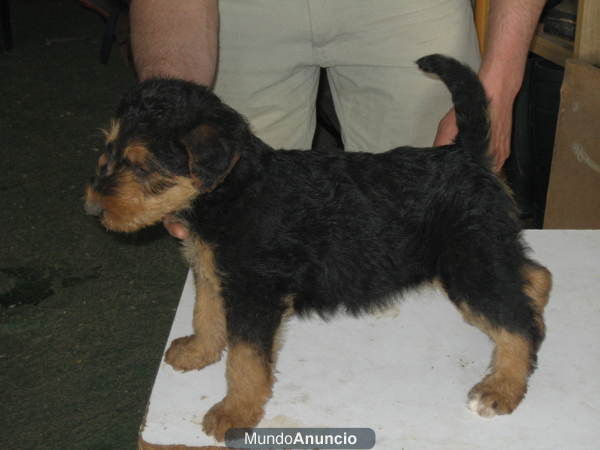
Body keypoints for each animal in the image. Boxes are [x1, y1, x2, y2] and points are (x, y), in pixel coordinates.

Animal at [85, 54, 552, 442]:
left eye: (141, 164)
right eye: (108, 147)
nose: (92, 207)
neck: (233, 190)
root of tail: (468, 155)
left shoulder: (255, 292)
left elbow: (245, 358)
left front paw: (233, 413)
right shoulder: (214, 273)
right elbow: (206, 315)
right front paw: (198, 352)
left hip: (469, 264)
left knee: (516, 323)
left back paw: (502, 387)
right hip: (483, 252)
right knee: (532, 277)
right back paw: (536, 308)